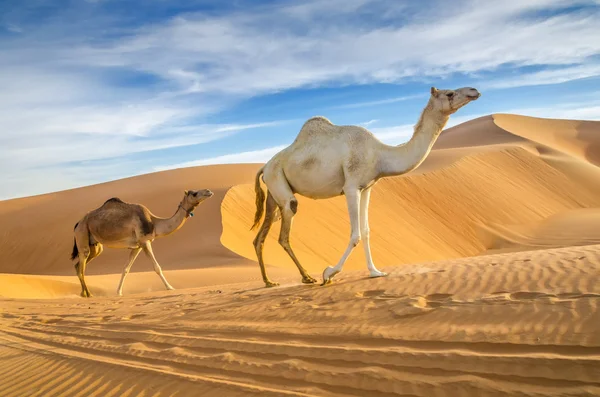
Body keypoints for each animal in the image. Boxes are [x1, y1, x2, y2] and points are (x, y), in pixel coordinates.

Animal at [72, 189, 213, 296]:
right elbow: (157, 267)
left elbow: (126, 269)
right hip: (82, 234)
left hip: (95, 246)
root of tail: (78, 223)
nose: (208, 191)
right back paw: (88, 294)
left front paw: (119, 292)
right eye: (194, 193)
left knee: (79, 266)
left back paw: (83, 293)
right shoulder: (145, 242)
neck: (155, 222)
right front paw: (170, 287)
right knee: (82, 266)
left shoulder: (137, 246)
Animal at [251, 86, 480, 286]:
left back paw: (269, 282)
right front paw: (329, 273)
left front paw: (375, 272)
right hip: (279, 182)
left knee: (260, 236)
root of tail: (264, 166)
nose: (474, 91)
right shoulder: (351, 187)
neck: (380, 155)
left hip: (273, 193)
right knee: (285, 230)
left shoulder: (367, 187)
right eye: (449, 93)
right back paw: (307, 277)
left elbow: (367, 231)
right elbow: (355, 234)